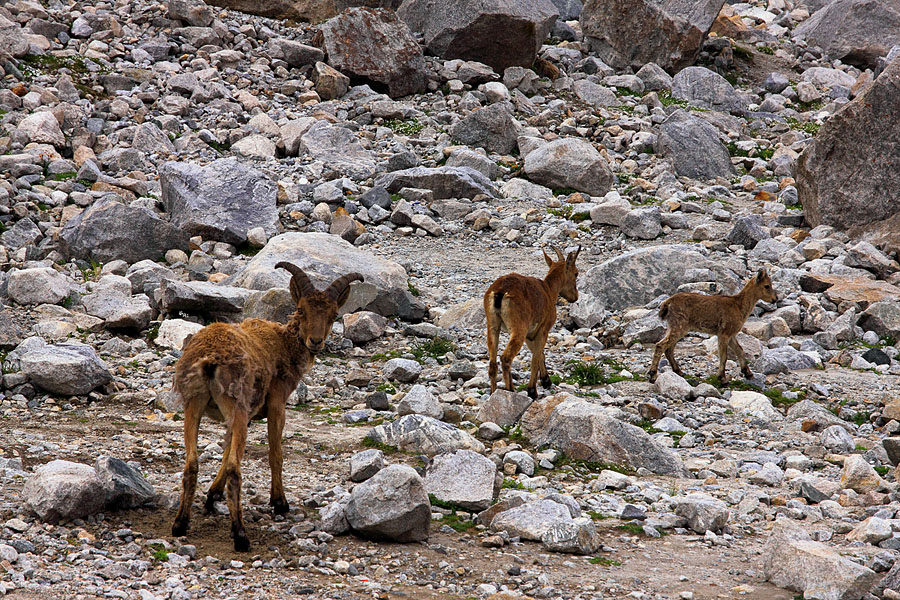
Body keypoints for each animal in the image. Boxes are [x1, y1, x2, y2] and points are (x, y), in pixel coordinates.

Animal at [172, 262, 362, 552]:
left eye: (333, 314)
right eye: (301, 310)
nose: (315, 341)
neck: (284, 343)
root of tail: (210, 361)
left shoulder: (241, 416)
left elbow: (226, 449)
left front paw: (212, 494)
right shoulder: (276, 403)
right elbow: (275, 454)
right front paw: (280, 502)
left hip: (195, 405)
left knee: (192, 463)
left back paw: (180, 524)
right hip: (235, 405)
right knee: (235, 469)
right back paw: (240, 536)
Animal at [486, 246, 584, 400]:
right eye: (576, 273)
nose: (575, 297)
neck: (549, 290)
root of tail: (500, 292)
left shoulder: (530, 334)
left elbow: (539, 354)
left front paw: (546, 380)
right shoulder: (543, 329)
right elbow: (536, 358)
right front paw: (533, 390)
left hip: (493, 326)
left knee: (492, 363)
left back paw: (493, 393)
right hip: (518, 328)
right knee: (506, 358)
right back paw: (510, 391)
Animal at [648, 268, 780, 382]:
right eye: (767, 286)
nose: (775, 298)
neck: (739, 306)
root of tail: (667, 303)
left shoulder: (731, 334)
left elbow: (740, 350)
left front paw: (748, 373)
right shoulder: (724, 333)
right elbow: (724, 356)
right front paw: (722, 378)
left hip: (674, 326)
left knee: (669, 349)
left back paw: (679, 371)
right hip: (679, 325)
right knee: (661, 345)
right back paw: (653, 374)